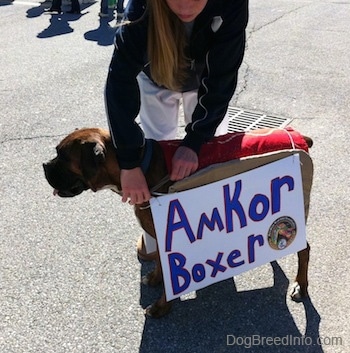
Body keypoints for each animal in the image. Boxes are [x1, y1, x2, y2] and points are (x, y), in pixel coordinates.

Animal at [42, 127, 314, 320]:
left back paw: (300, 285)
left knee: (305, 249)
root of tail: (298, 136)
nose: (44, 165)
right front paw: (154, 278)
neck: (136, 165)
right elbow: (160, 264)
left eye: (62, 156)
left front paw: (161, 307)